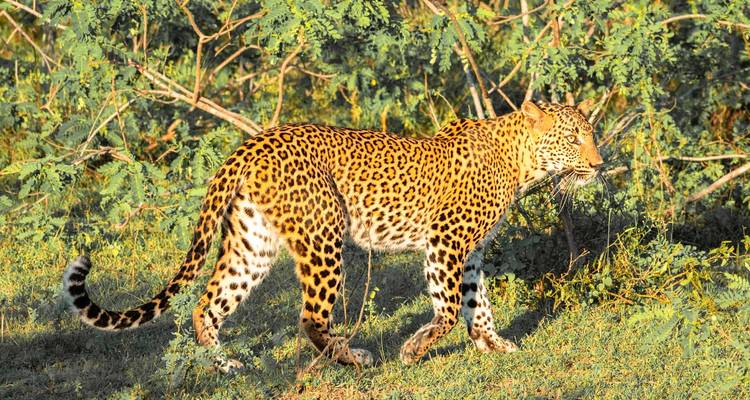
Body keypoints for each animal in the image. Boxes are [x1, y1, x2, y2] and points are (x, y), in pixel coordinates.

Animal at [63, 100, 604, 371]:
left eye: (591, 134)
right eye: (574, 136)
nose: (599, 165)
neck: (522, 162)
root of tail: (251, 143)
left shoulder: (468, 252)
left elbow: (477, 303)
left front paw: (493, 344)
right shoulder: (445, 242)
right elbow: (449, 309)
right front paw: (415, 349)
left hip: (253, 244)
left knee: (206, 304)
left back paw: (225, 366)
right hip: (324, 235)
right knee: (309, 317)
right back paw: (352, 356)